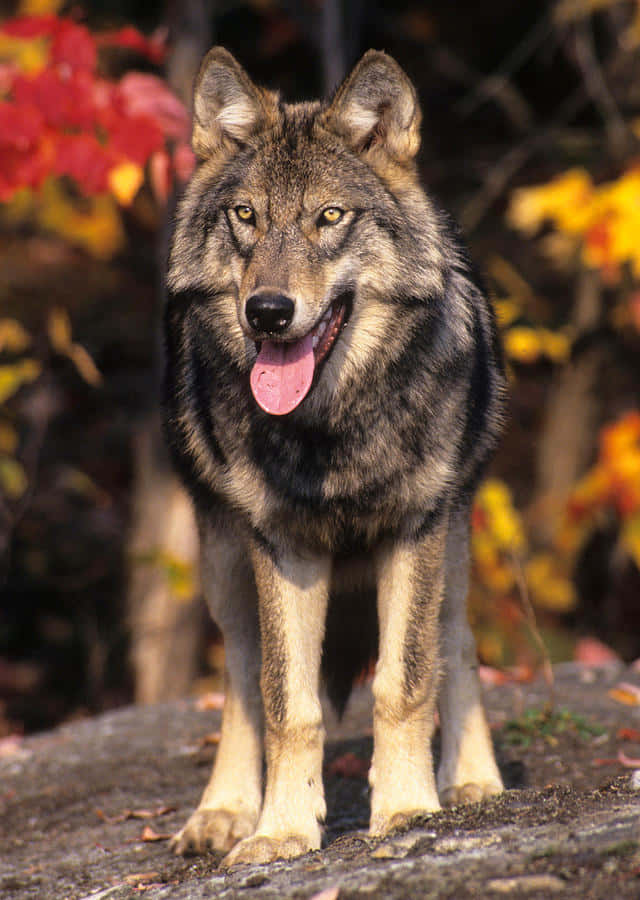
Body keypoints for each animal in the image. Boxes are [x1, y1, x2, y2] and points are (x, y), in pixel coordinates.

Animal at [163, 46, 507, 867]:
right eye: (246, 216)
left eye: (329, 217)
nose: (268, 312)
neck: (330, 427)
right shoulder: (280, 546)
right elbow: (288, 705)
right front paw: (281, 829)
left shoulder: (416, 529)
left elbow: (404, 683)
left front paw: (408, 807)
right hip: (224, 565)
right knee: (242, 680)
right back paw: (223, 812)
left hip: (453, 545)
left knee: (456, 643)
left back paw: (474, 783)